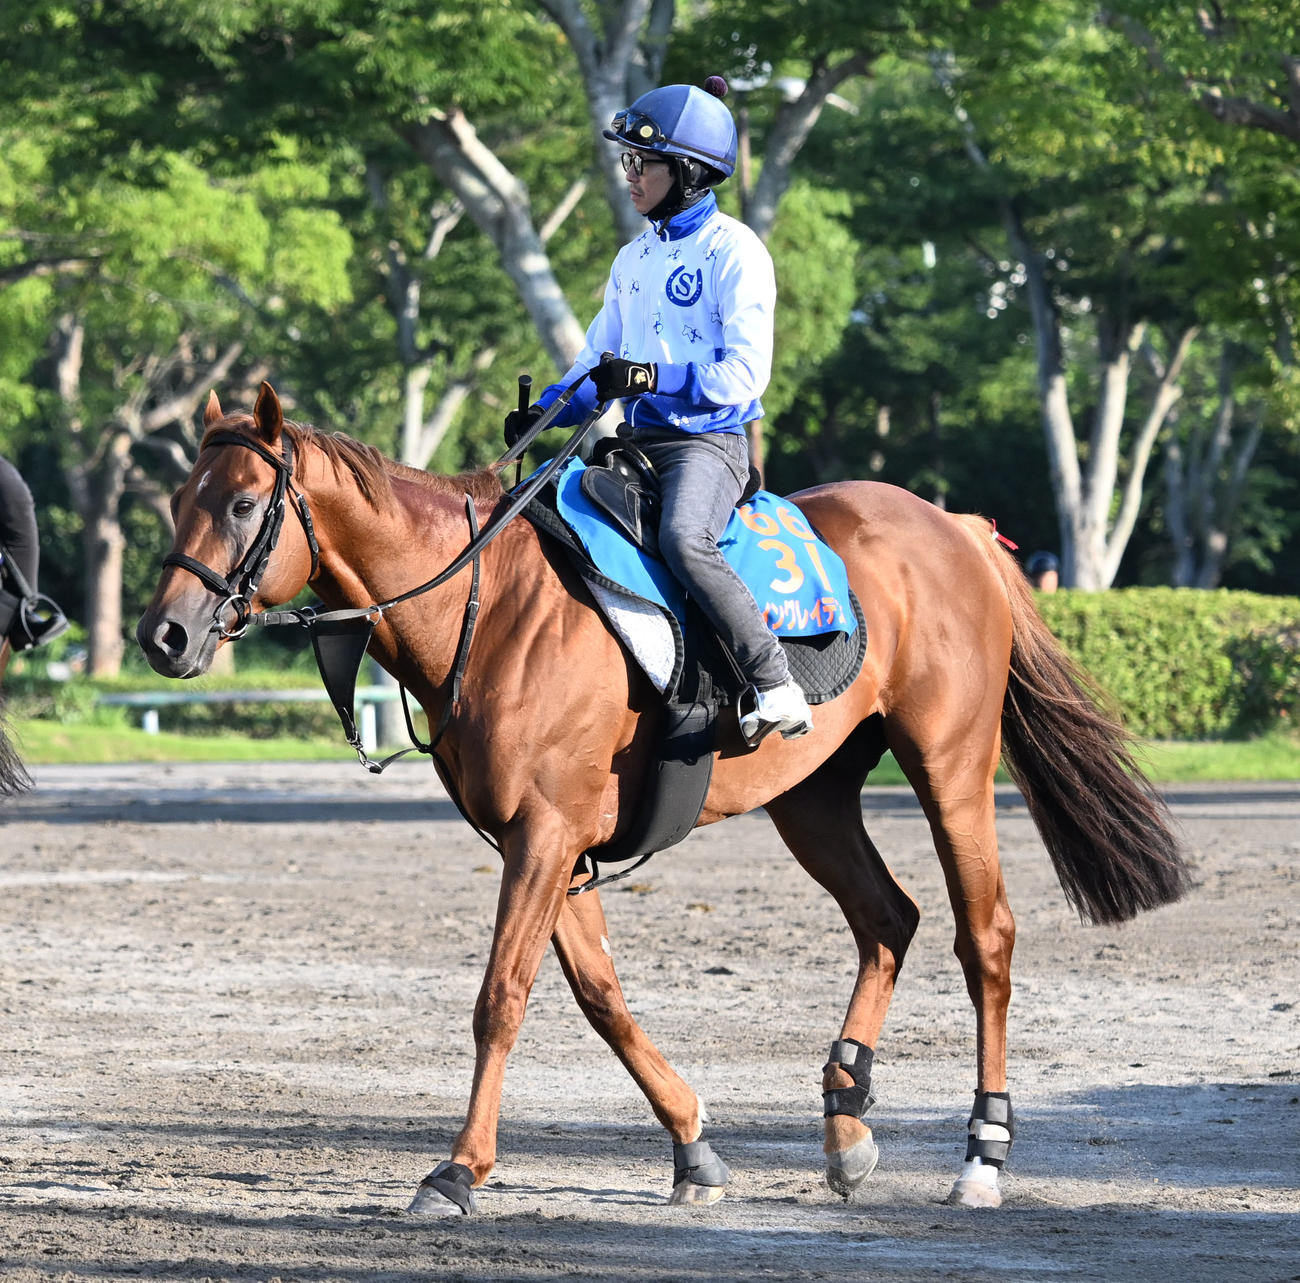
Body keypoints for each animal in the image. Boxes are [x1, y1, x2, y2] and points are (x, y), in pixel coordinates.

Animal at [137, 383, 1189, 1214]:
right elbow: (601, 996)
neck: (490, 599)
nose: (163, 637)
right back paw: (845, 1120)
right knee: (889, 918)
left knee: (986, 938)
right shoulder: (546, 844)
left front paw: (459, 1169)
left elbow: (501, 998)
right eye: (179, 500)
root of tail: (953, 526)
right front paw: (693, 1146)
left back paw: (982, 1153)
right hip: (813, 799)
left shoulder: (544, 835)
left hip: (950, 766)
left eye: (241, 503)